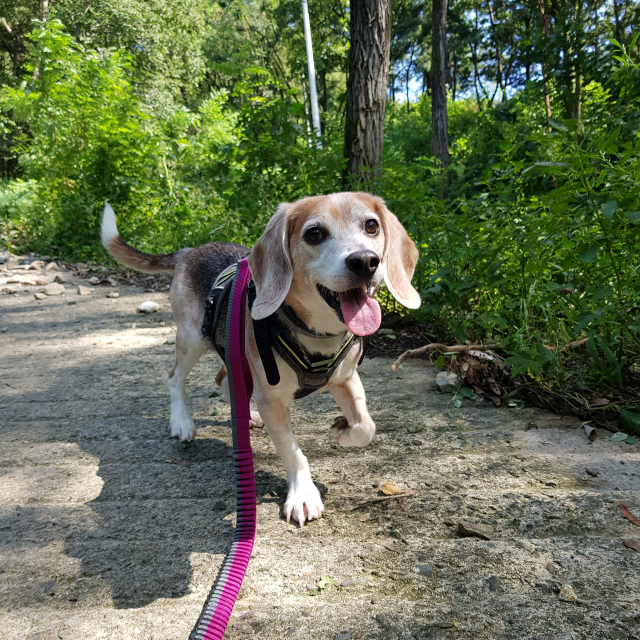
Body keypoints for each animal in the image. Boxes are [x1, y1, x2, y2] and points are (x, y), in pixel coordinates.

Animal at [101, 192, 420, 524]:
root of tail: (191, 251)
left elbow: (366, 427)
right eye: (314, 234)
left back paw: (246, 414)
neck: (313, 331)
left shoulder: (345, 379)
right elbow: (293, 452)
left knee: (225, 379)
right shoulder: (273, 402)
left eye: (371, 225)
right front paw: (303, 494)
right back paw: (182, 422)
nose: (365, 261)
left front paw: (343, 432)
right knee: (175, 377)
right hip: (192, 338)